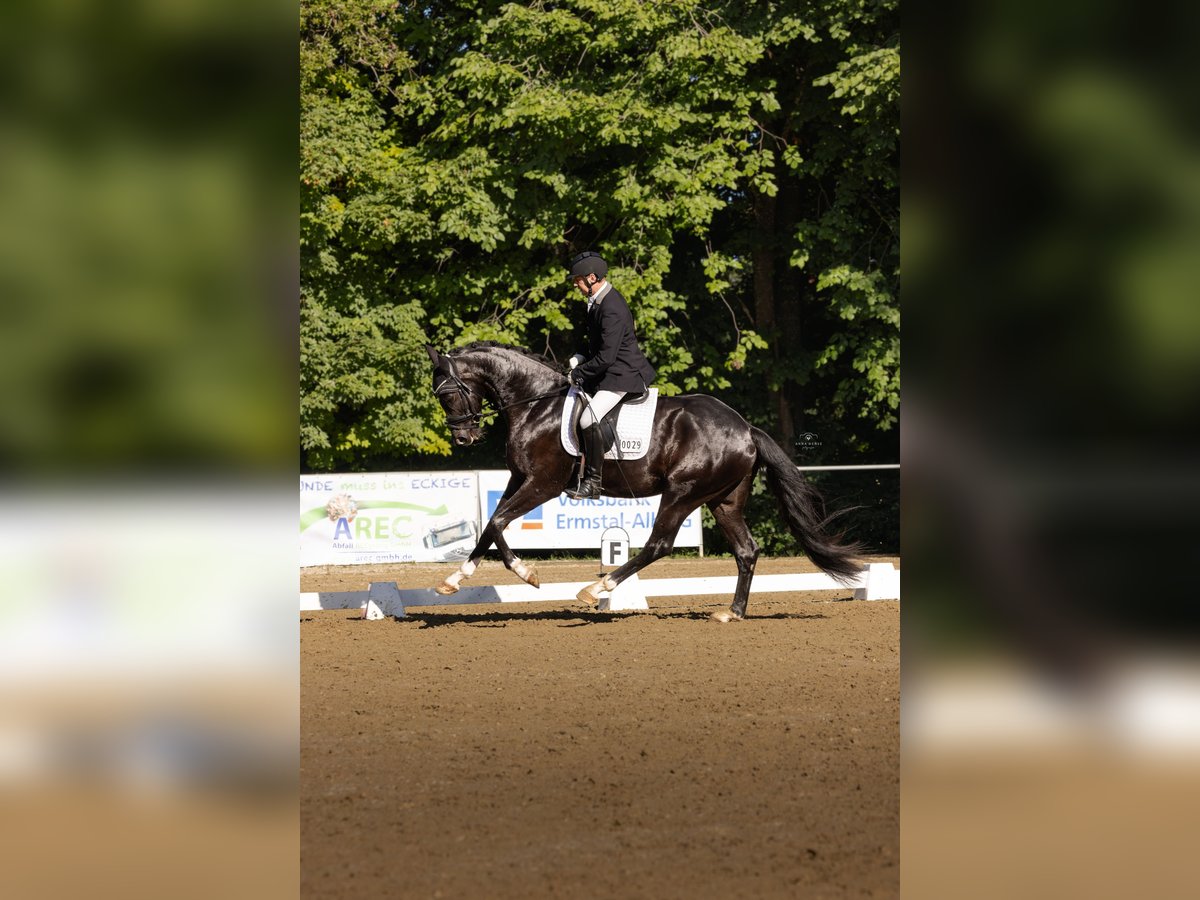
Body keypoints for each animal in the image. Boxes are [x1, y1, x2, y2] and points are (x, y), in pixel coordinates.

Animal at [425, 341, 861, 622]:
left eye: (447, 393)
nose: (464, 437)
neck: (536, 404)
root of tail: (746, 429)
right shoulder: (520, 478)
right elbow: (490, 523)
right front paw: (453, 580)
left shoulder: (543, 483)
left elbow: (499, 522)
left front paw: (526, 574)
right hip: (723, 500)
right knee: (746, 550)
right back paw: (732, 612)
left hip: (683, 492)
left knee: (659, 545)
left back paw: (597, 589)